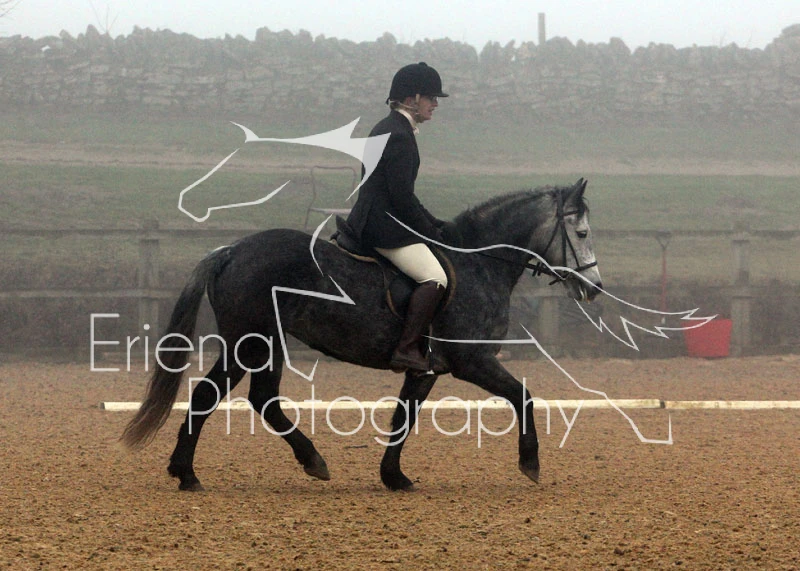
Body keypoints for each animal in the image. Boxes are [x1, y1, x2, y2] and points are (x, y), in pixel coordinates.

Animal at [121, 178, 603, 491]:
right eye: (581, 232)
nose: (594, 288)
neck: (478, 263)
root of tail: (231, 250)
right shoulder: (472, 361)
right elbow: (523, 396)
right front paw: (530, 463)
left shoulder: (426, 369)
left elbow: (404, 416)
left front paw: (394, 477)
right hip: (253, 342)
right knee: (216, 395)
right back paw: (193, 474)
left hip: (265, 343)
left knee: (259, 398)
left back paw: (298, 462)